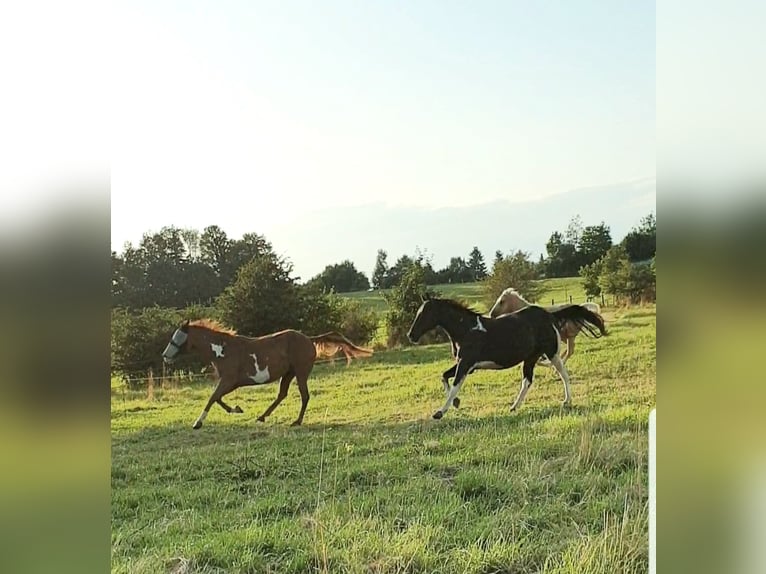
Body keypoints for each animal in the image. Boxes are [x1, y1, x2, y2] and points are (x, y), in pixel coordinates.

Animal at [161, 319, 373, 429]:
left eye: (177, 338)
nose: (165, 356)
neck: (222, 350)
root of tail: (308, 339)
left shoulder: (229, 380)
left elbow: (213, 398)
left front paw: (197, 423)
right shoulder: (230, 382)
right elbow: (218, 398)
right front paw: (237, 409)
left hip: (301, 372)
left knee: (304, 395)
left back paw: (296, 421)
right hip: (288, 374)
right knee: (282, 394)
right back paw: (262, 417)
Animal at [407, 297, 606, 419]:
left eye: (424, 314)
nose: (411, 335)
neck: (467, 330)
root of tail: (548, 314)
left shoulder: (466, 364)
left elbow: (454, 386)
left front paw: (439, 412)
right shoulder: (466, 366)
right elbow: (444, 377)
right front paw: (455, 403)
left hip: (551, 353)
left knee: (563, 373)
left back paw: (567, 401)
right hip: (530, 357)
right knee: (528, 380)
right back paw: (514, 406)